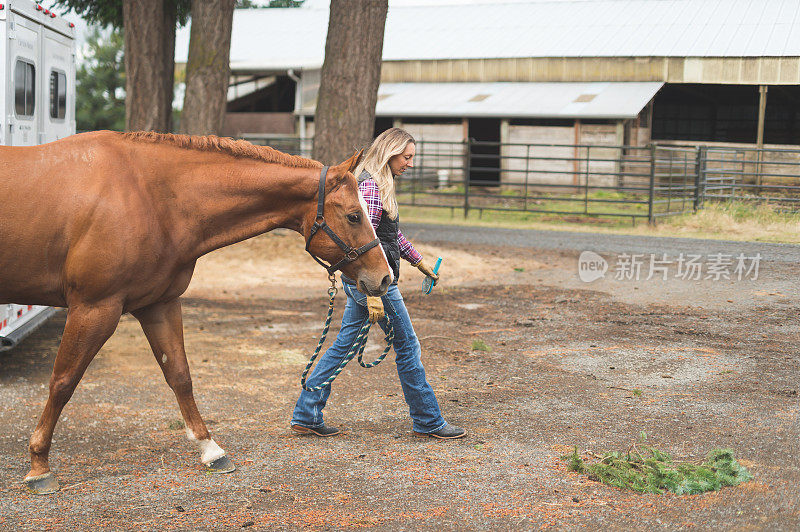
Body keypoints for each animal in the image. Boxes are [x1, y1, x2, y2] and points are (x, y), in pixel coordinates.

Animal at [0, 130, 394, 494]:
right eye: (354, 216)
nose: (385, 277)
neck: (147, 195)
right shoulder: (94, 309)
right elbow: (63, 382)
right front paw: (39, 465)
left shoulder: (159, 305)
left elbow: (180, 376)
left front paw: (211, 449)